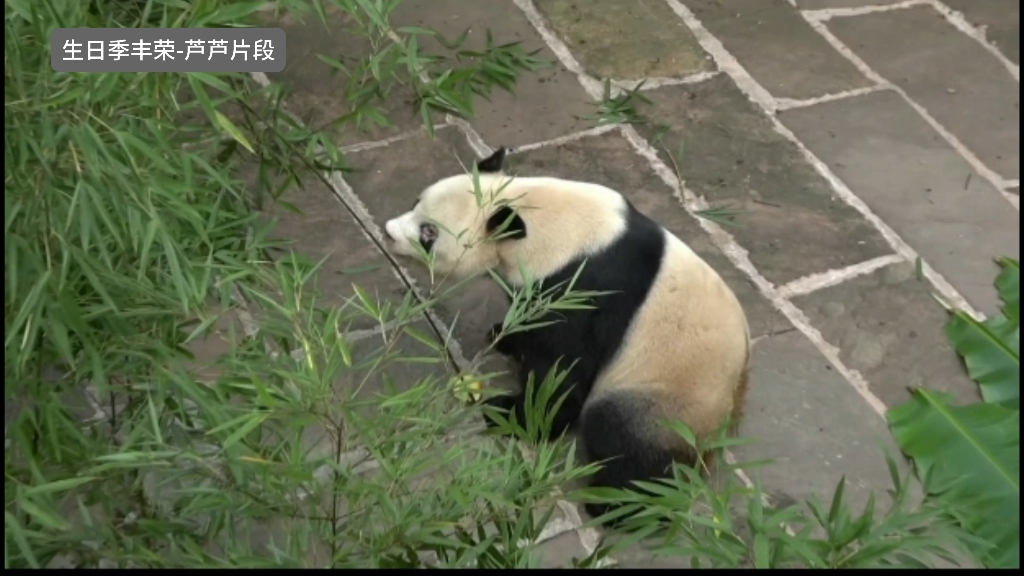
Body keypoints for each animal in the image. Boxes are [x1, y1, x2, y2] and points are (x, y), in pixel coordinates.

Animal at [385, 146, 753, 520]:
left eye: (429, 233)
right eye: (415, 202)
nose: (388, 232)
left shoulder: (583, 288)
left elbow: (561, 366)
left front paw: (514, 415)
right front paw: (505, 337)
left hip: (667, 393)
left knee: (625, 437)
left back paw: (618, 507)